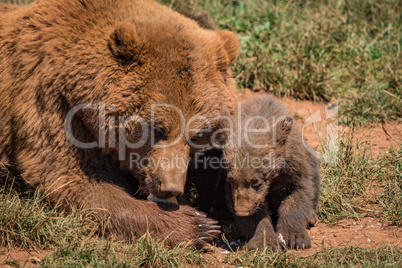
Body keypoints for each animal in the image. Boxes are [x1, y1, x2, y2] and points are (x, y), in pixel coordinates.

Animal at [0, 0, 239, 248]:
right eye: (158, 128)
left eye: (197, 135)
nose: (169, 187)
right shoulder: (50, 104)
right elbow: (73, 179)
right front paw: (196, 225)